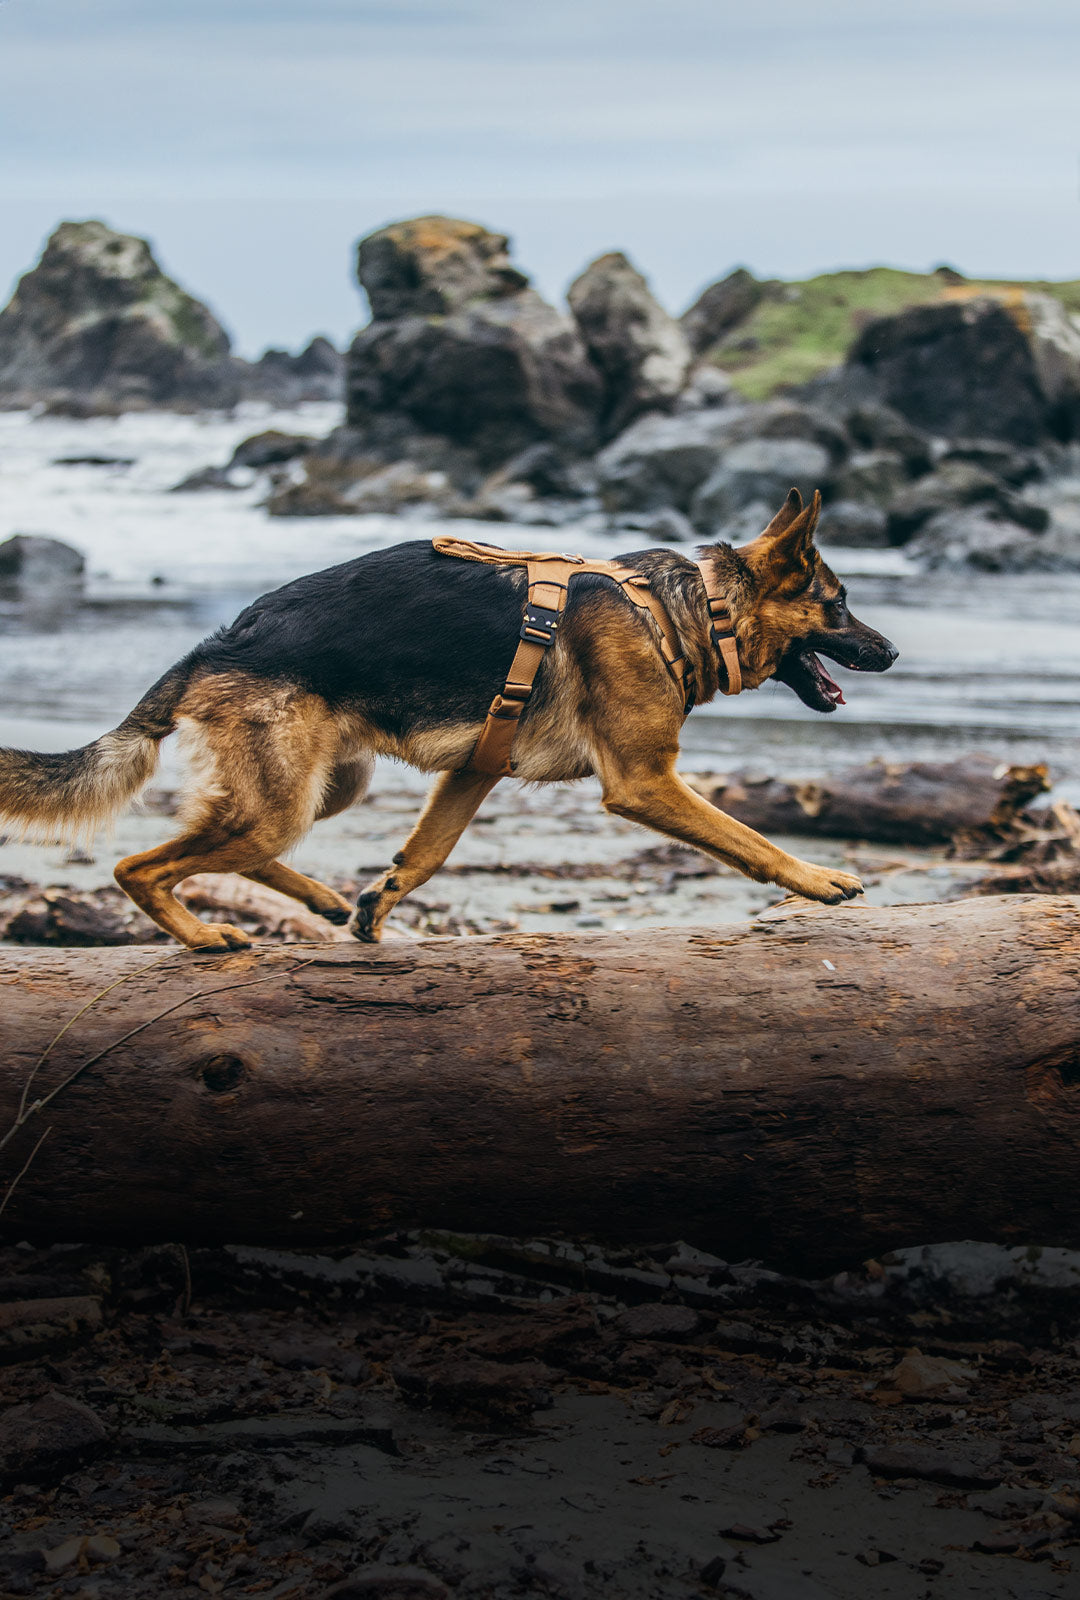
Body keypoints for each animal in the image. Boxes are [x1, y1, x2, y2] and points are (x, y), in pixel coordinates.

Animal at [0, 480, 896, 940]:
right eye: (839, 606)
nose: (890, 654)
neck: (694, 609)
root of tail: (216, 646)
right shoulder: (645, 784)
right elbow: (748, 840)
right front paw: (816, 880)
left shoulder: (473, 771)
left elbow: (426, 854)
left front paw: (379, 901)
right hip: (283, 801)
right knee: (140, 866)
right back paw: (202, 933)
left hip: (325, 789)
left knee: (222, 849)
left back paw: (321, 900)